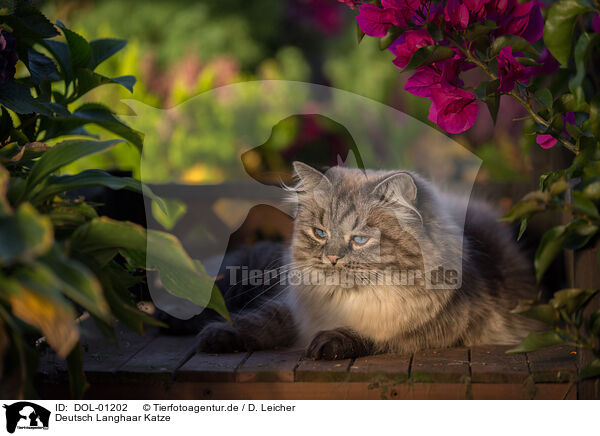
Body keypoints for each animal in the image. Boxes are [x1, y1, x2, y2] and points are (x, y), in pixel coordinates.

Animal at [171, 162, 540, 360]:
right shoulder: (295, 310)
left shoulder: (429, 329)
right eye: (320, 233)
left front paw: (327, 343)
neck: (345, 301)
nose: (333, 258)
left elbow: (370, 335)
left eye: (360, 239)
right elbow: (259, 322)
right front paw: (217, 336)